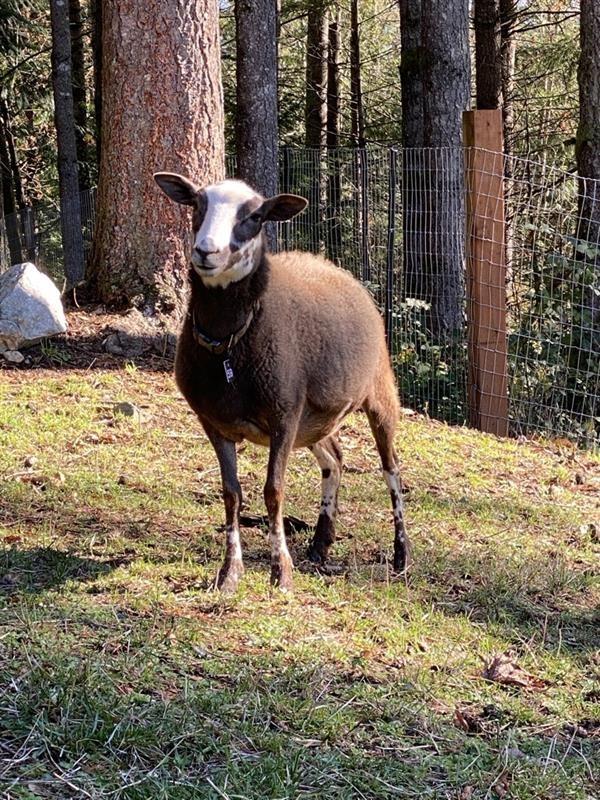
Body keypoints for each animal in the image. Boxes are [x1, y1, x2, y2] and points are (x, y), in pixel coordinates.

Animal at [154, 174, 410, 592]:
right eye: (196, 205)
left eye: (255, 216)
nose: (206, 252)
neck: (230, 345)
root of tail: (333, 266)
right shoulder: (215, 422)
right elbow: (231, 494)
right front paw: (229, 574)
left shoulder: (283, 414)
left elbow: (273, 491)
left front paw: (282, 572)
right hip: (316, 419)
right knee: (335, 460)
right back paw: (320, 545)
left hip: (380, 395)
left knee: (392, 471)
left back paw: (402, 555)